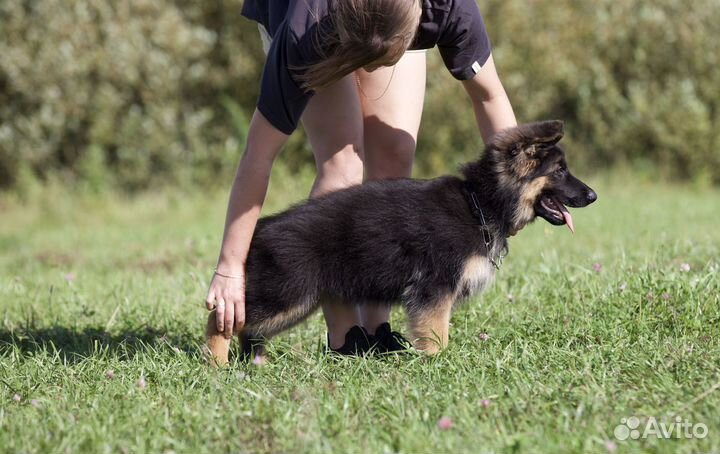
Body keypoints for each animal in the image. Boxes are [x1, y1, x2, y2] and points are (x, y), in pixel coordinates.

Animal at [207, 121, 596, 366]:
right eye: (560, 170)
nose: (593, 196)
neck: (479, 203)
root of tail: (259, 229)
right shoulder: (434, 289)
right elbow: (437, 334)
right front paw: (439, 364)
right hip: (287, 295)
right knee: (223, 319)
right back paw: (217, 364)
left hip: (297, 302)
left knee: (249, 328)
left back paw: (252, 362)